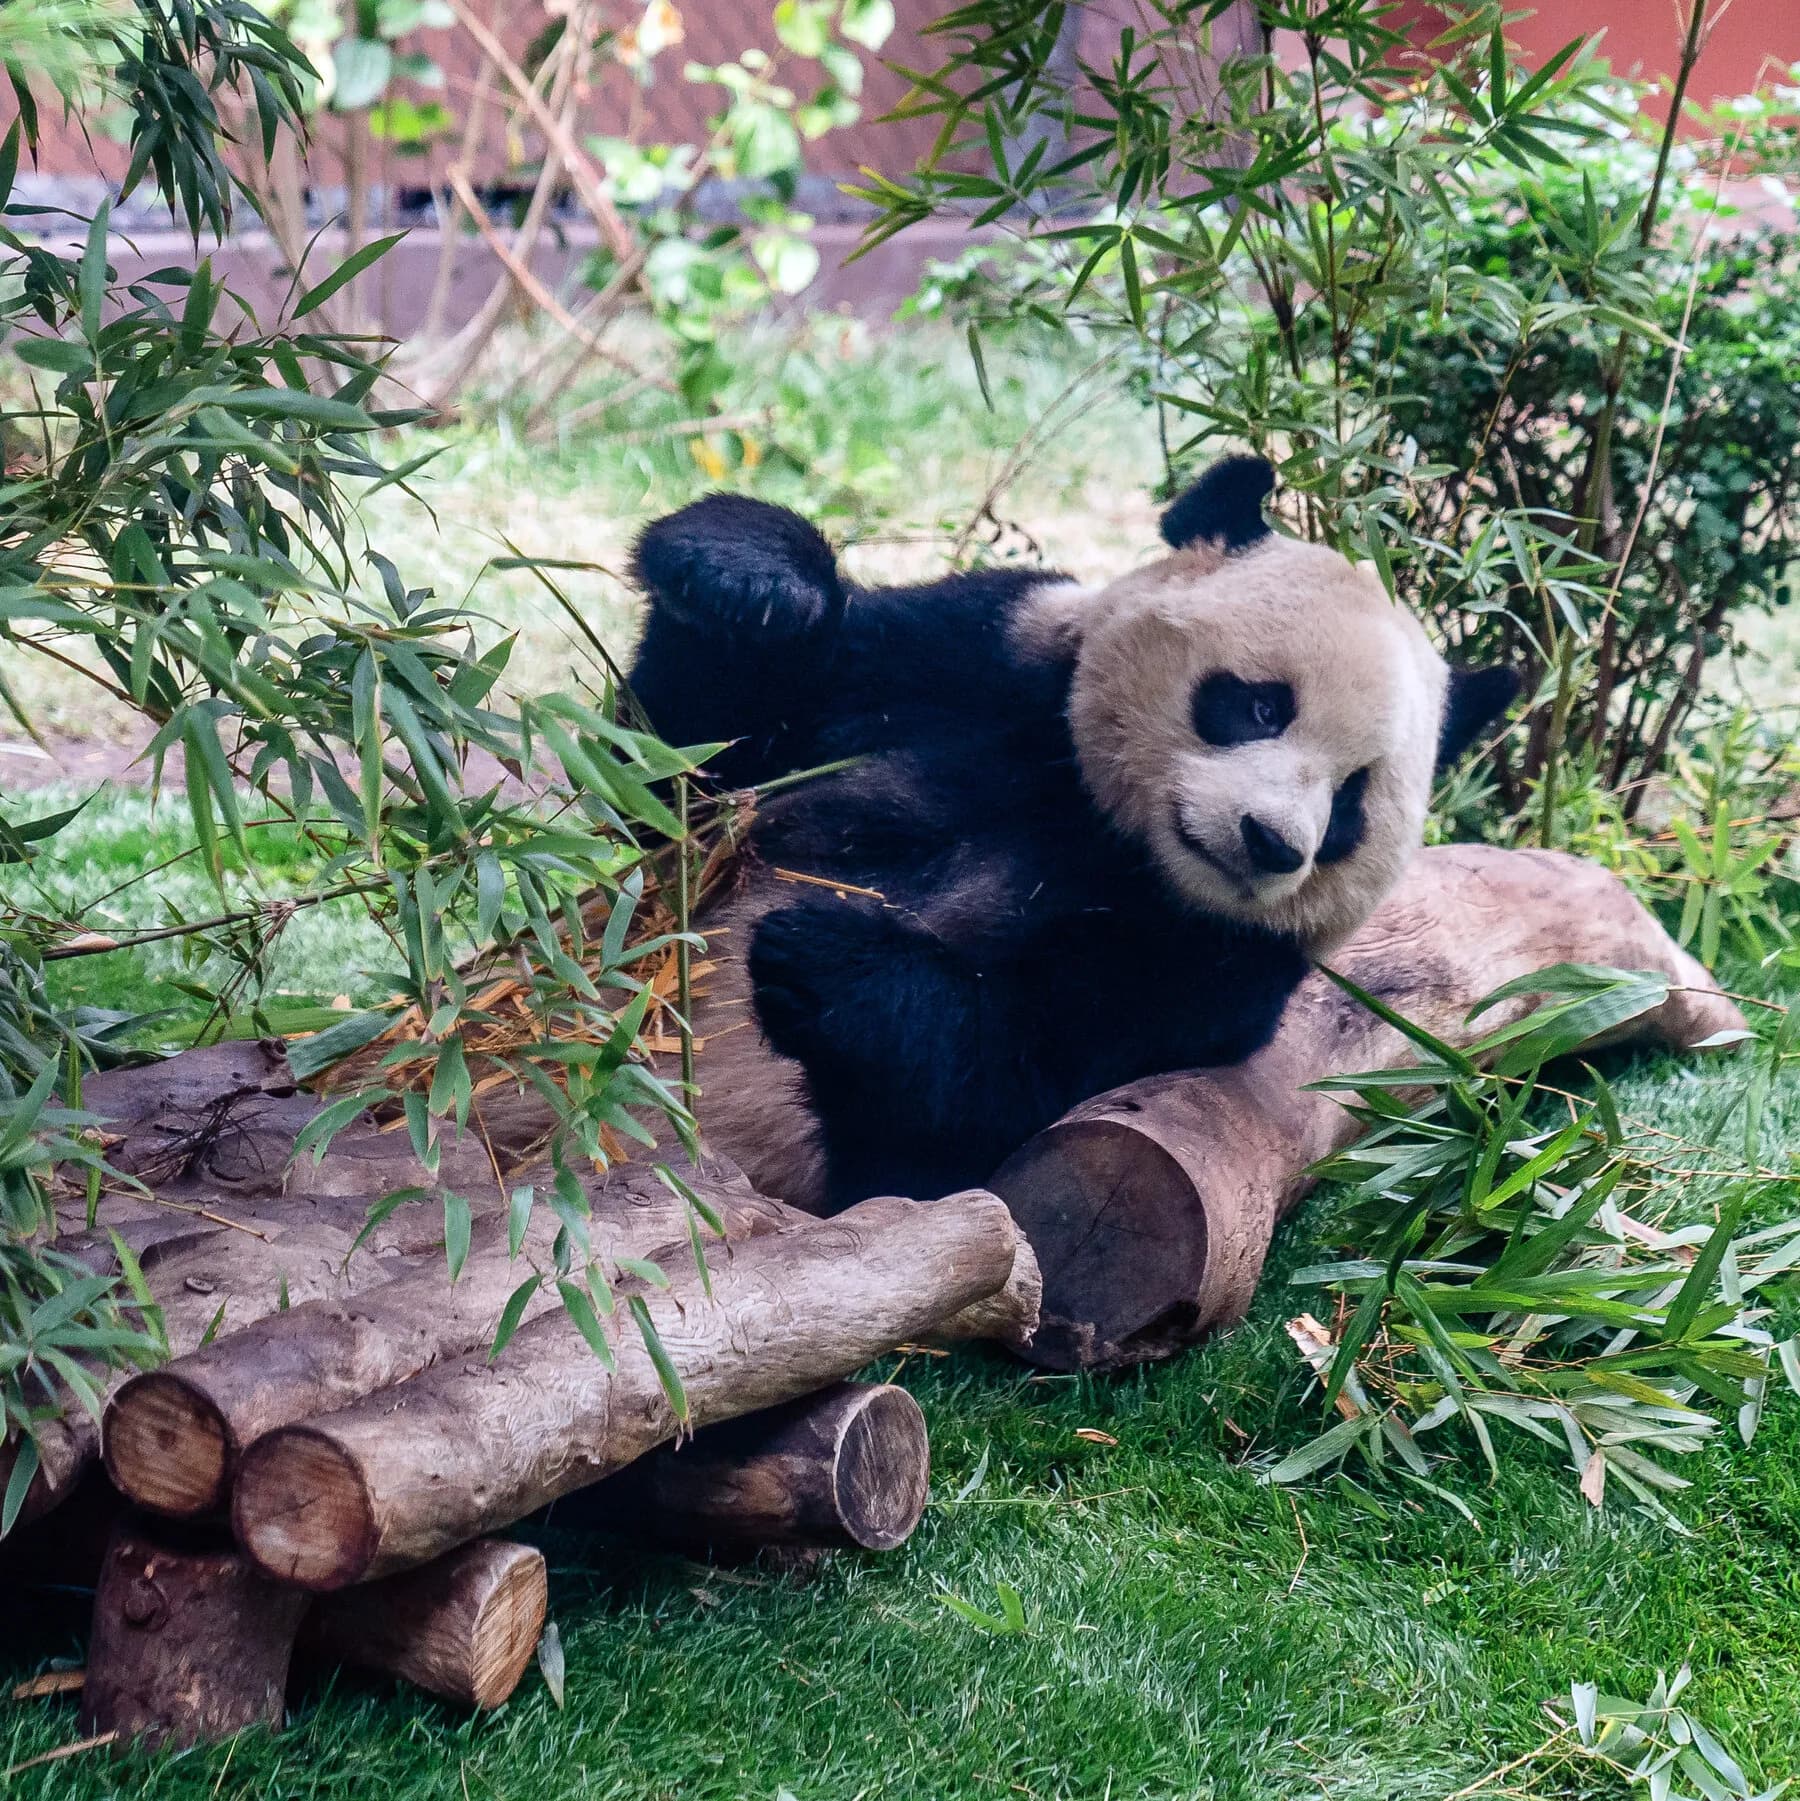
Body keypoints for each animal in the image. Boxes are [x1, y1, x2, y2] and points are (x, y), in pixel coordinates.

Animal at [628, 456, 1518, 1213]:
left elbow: (998, 1088)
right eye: (1263, 705)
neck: (1103, 827)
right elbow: (678, 767)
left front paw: (830, 958)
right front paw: (746, 576)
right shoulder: (974, 660)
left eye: (1350, 801)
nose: (1271, 843)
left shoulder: (1211, 971)